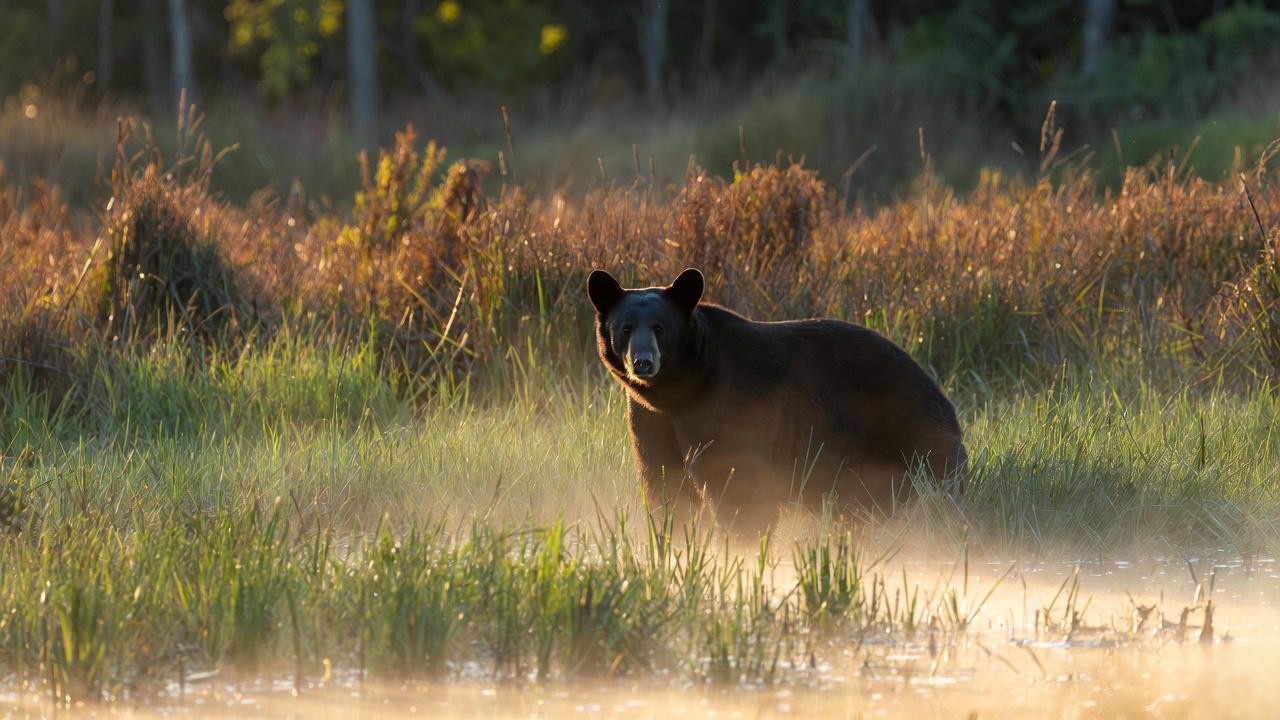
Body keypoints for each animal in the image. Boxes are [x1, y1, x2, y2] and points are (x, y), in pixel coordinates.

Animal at [587, 267, 966, 537]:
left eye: (660, 327)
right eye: (625, 328)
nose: (643, 362)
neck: (685, 390)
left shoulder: (734, 404)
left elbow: (736, 477)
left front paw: (741, 537)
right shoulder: (650, 419)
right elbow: (663, 475)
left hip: (900, 431)